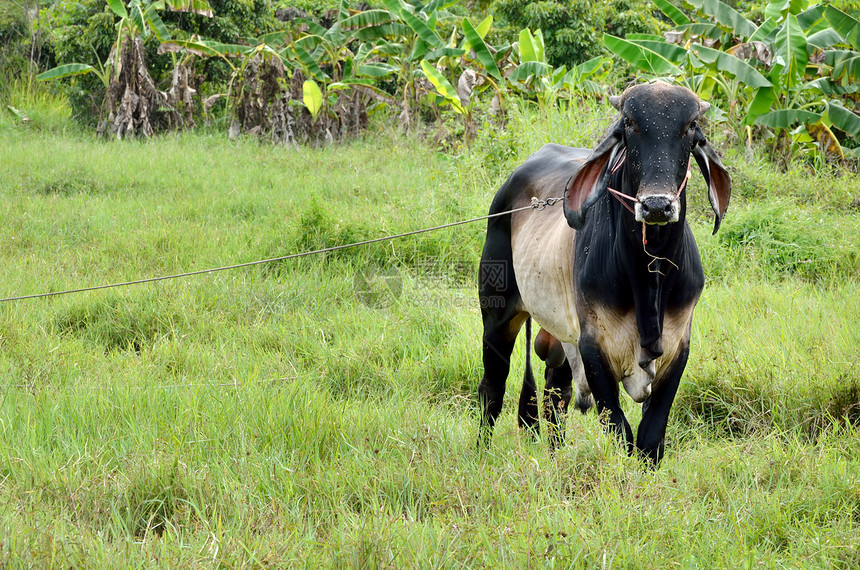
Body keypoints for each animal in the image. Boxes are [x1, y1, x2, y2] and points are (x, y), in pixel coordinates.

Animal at [478, 82, 732, 462]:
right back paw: (481, 452)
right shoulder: (594, 345)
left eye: (690, 126)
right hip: (498, 315)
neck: (649, 273)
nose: (657, 205)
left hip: (562, 335)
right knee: (492, 388)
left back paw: (556, 456)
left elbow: (650, 437)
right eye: (629, 123)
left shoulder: (677, 348)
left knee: (555, 395)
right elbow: (620, 430)